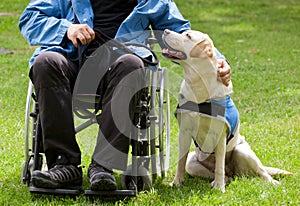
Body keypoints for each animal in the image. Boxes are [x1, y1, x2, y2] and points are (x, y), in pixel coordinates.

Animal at [163, 28, 292, 192]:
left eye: (188, 36)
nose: (165, 30)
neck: (198, 86)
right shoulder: (184, 132)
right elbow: (180, 161)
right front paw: (177, 182)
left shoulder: (219, 136)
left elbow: (219, 165)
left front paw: (219, 188)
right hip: (192, 163)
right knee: (224, 174)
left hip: (242, 151)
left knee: (261, 172)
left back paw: (272, 182)